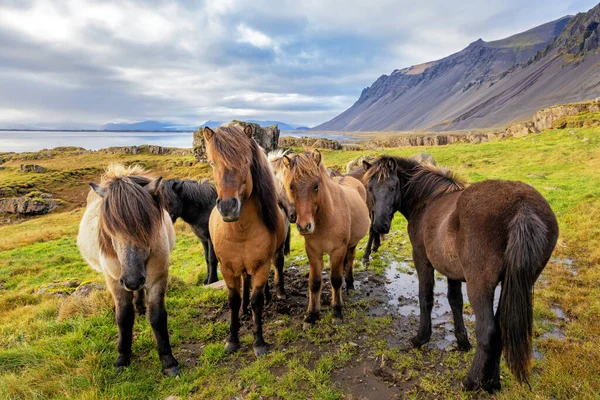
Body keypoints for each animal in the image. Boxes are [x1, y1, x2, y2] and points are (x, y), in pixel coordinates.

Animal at [76, 163, 178, 376]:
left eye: (147, 227)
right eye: (109, 230)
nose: (132, 280)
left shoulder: (158, 278)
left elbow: (157, 317)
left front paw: (168, 360)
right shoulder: (116, 281)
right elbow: (123, 317)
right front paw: (122, 358)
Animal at [204, 125, 288, 356]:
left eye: (245, 162)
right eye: (212, 162)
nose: (227, 207)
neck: (240, 232)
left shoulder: (261, 266)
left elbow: (256, 300)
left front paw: (259, 342)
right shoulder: (227, 267)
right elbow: (233, 300)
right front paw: (232, 339)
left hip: (275, 254)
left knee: (276, 268)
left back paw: (274, 296)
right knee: (245, 282)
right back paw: (244, 310)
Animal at [282, 150, 370, 328]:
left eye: (316, 185)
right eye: (291, 187)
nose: (304, 226)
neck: (327, 218)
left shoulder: (337, 250)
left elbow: (335, 279)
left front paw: (337, 312)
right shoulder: (313, 252)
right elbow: (314, 282)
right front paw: (311, 315)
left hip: (351, 244)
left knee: (350, 259)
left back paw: (350, 284)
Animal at [364, 157, 560, 394]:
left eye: (393, 187)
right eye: (370, 188)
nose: (380, 225)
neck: (428, 200)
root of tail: (522, 207)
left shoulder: (422, 261)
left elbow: (426, 298)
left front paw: (421, 338)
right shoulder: (453, 272)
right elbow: (454, 301)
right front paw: (462, 341)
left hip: (479, 286)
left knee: (488, 330)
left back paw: (471, 381)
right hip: (513, 284)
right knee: (500, 329)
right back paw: (492, 383)